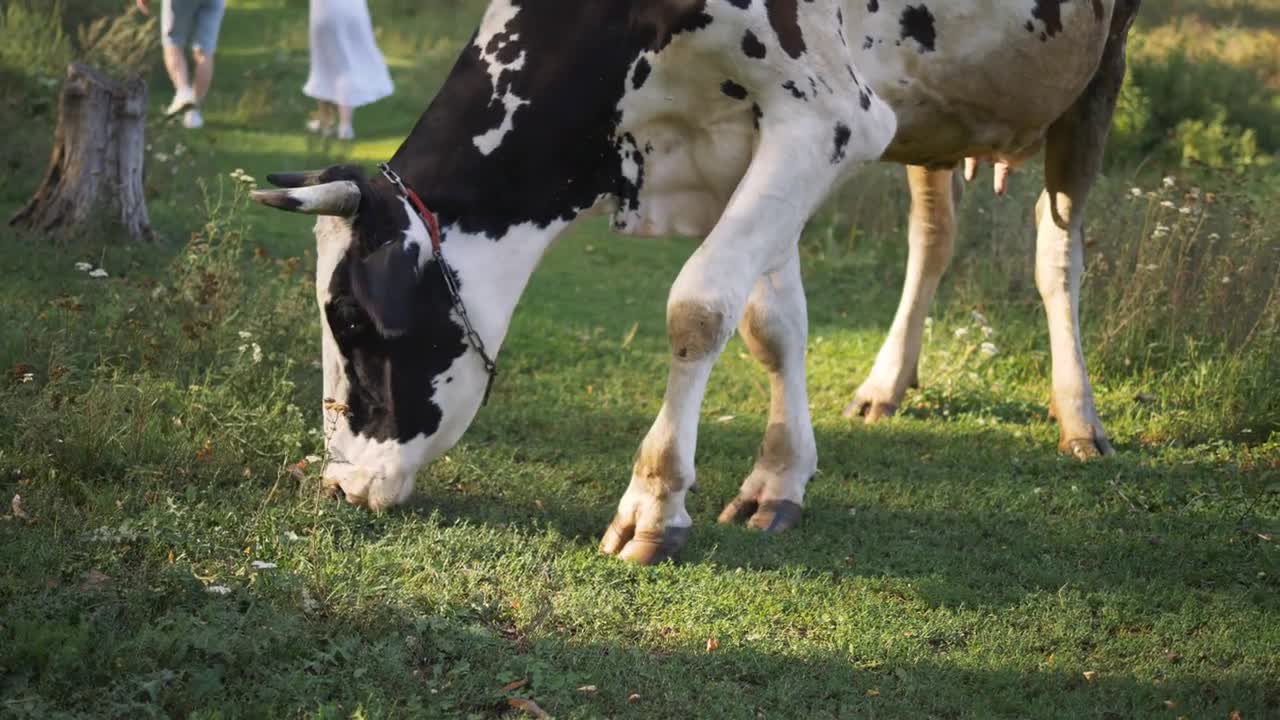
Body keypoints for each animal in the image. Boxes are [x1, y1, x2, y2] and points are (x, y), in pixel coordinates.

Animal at [252, 0, 1141, 561]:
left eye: (352, 319)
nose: (340, 484)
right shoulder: (745, 139)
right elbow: (771, 324)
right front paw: (779, 481)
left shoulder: (830, 117)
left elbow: (700, 305)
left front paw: (654, 507)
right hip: (939, 112)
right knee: (934, 233)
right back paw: (886, 384)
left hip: (1095, 70)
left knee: (1057, 250)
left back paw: (1079, 418)